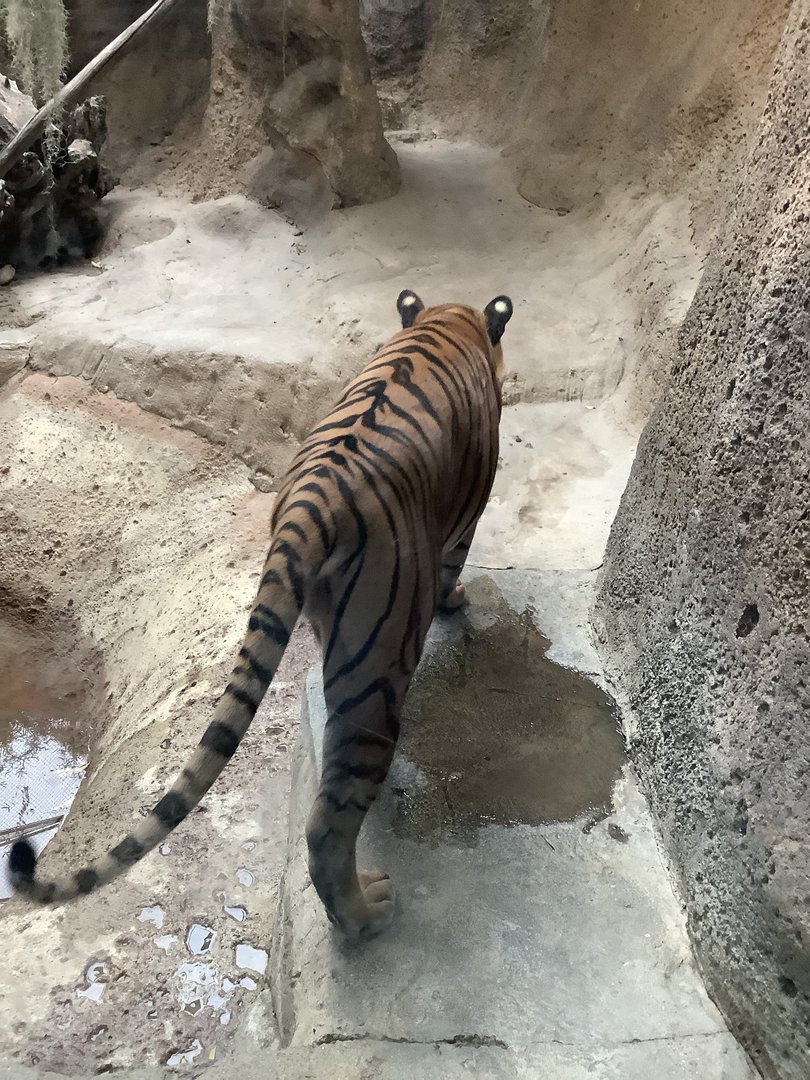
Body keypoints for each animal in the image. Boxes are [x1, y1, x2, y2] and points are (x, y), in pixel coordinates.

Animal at [10, 289, 513, 939]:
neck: (448, 320)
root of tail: (312, 501)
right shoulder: (466, 520)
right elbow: (457, 563)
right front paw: (456, 601)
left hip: (341, 627)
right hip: (382, 651)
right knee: (330, 818)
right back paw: (366, 915)